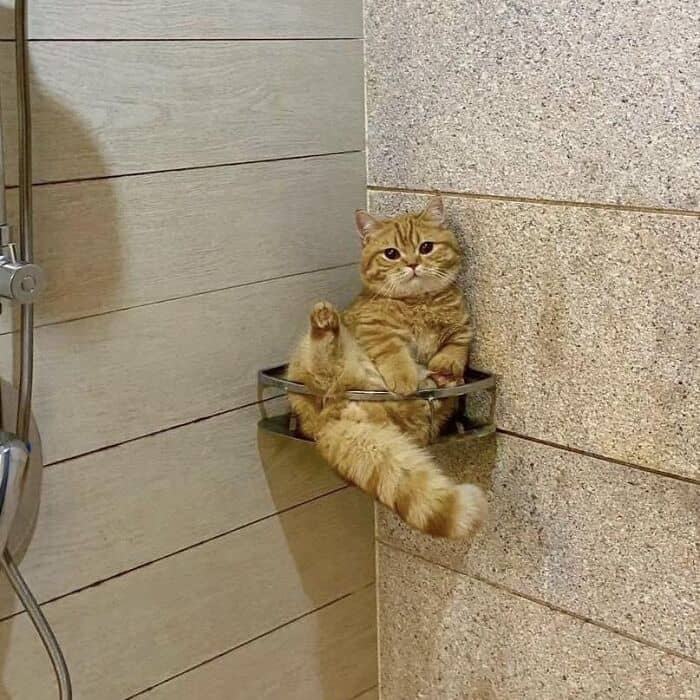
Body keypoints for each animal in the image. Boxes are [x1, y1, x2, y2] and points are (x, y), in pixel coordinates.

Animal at [287, 195, 487, 538]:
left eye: (426, 247)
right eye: (391, 253)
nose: (413, 264)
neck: (419, 304)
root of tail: (328, 420)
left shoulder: (462, 331)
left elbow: (454, 351)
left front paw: (445, 368)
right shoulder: (374, 330)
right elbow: (394, 353)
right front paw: (405, 377)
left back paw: (435, 384)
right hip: (311, 370)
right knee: (322, 367)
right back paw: (325, 323)